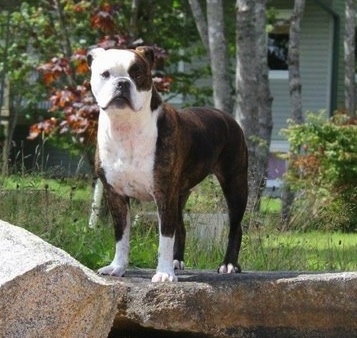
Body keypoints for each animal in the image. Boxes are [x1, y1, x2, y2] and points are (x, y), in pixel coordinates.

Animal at [87, 45, 248, 282]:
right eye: (105, 74)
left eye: (137, 73)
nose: (122, 83)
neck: (126, 127)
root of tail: (227, 117)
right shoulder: (115, 194)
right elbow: (121, 236)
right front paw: (117, 267)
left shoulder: (163, 194)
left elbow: (165, 237)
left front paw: (163, 274)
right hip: (180, 194)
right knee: (181, 227)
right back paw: (177, 260)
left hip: (234, 184)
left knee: (235, 227)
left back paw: (229, 264)